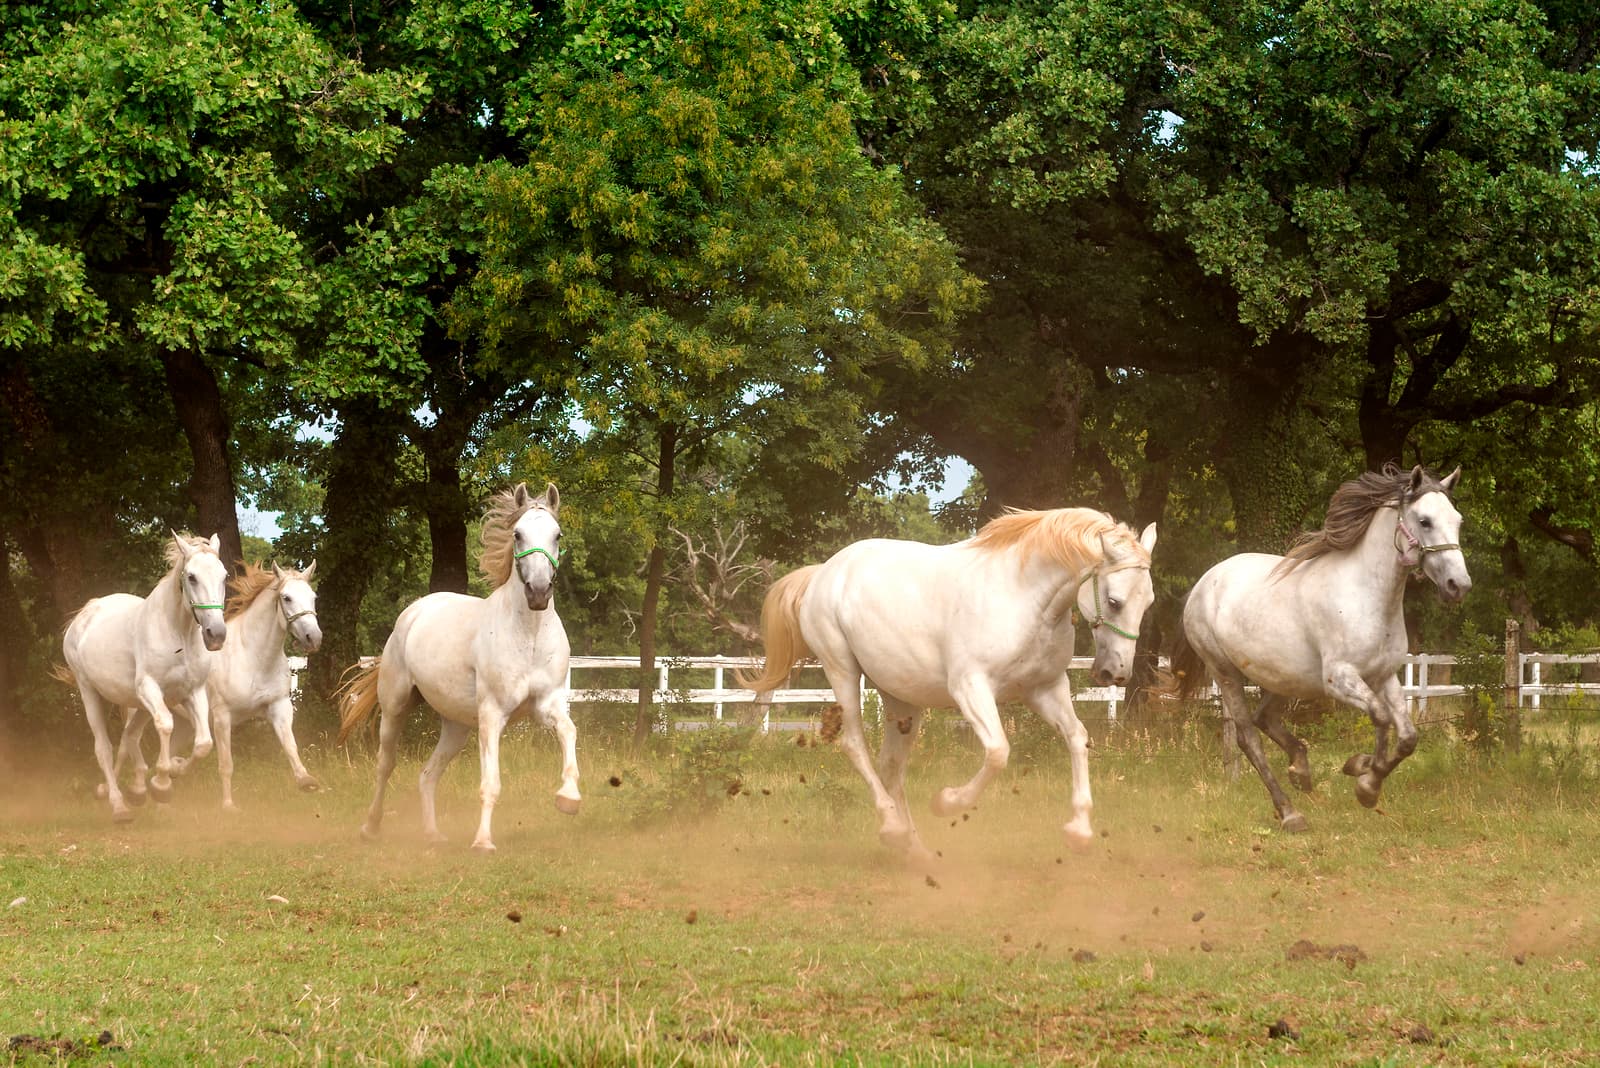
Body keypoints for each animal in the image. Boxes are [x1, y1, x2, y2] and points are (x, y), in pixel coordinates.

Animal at [58, 532, 230, 821]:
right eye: (192, 577)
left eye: (224, 576)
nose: (216, 634)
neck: (178, 634)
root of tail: (85, 614)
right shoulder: (150, 688)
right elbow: (166, 725)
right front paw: (161, 785)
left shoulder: (193, 691)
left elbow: (204, 743)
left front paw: (174, 769)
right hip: (89, 691)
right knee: (104, 748)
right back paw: (119, 805)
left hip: (134, 703)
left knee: (129, 737)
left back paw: (134, 791)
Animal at [102, 562, 324, 809]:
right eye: (286, 598)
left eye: (313, 597)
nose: (313, 637)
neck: (253, 657)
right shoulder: (222, 717)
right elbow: (226, 764)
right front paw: (228, 805)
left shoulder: (280, 707)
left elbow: (290, 746)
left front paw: (306, 781)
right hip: (137, 710)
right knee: (124, 745)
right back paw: (112, 792)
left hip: (184, 722)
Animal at [337, 482, 579, 852]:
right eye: (518, 534)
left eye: (557, 534)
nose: (538, 592)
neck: (530, 636)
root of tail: (415, 611)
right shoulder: (493, 714)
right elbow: (490, 782)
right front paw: (482, 842)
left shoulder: (547, 704)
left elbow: (569, 731)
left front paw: (569, 798)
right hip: (395, 708)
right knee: (385, 765)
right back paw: (371, 828)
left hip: (456, 726)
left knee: (427, 775)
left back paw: (432, 834)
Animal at [742, 508, 1157, 859]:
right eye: (1115, 601)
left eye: (1149, 601)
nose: (1116, 673)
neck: (1024, 599)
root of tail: (823, 573)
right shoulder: (970, 688)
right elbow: (998, 752)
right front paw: (947, 802)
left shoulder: (1045, 689)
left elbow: (1077, 738)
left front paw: (1079, 832)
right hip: (842, 670)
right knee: (856, 746)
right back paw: (893, 829)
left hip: (901, 699)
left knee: (891, 766)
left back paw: (915, 851)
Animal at [1169, 464, 1470, 832]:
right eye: (1425, 521)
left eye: (1457, 520)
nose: (1459, 586)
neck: (1366, 596)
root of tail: (1203, 583)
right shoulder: (1339, 679)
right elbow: (1381, 717)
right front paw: (1367, 784)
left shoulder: (1385, 676)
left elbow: (1407, 737)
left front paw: (1360, 769)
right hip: (1226, 673)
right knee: (1248, 737)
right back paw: (1289, 812)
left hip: (1285, 677)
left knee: (1263, 717)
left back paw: (1301, 770)